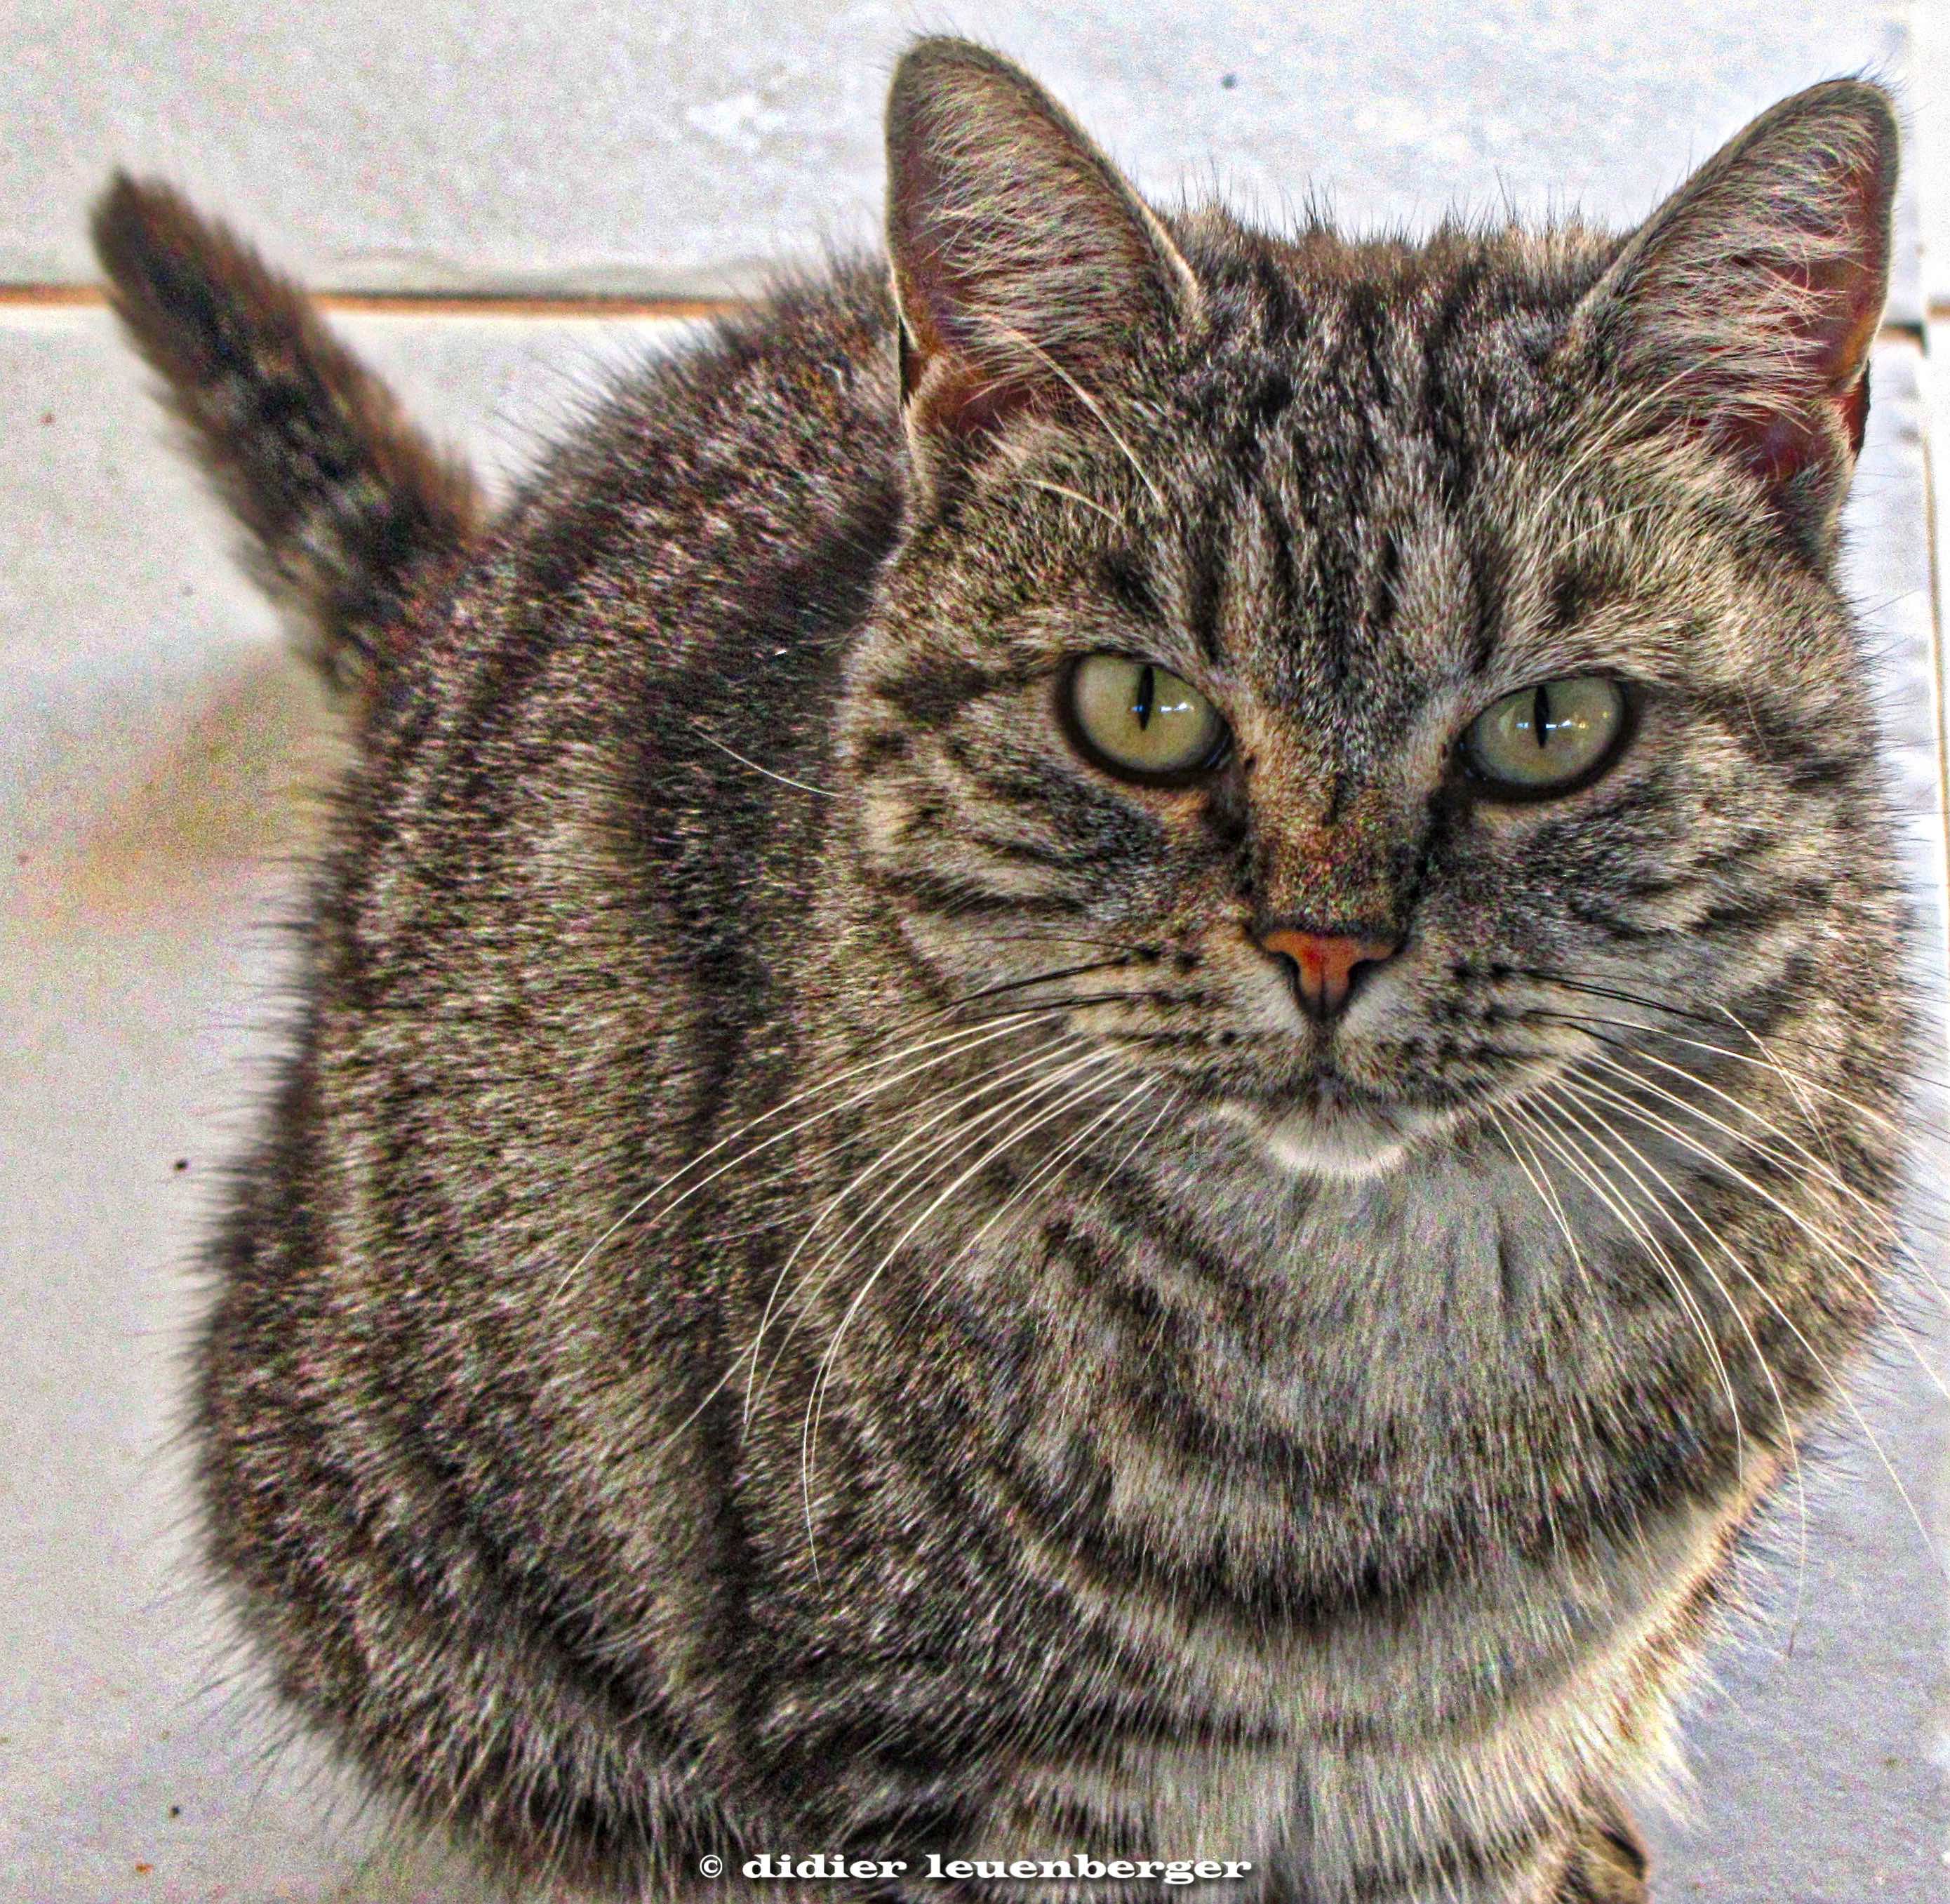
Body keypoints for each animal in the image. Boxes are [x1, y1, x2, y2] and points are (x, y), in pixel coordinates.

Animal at [95, 33, 1903, 1904]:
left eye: (1551, 729)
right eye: (1139, 708)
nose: (1325, 941)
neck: (1360, 1380)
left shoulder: (1469, 1776)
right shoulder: (942, 1760)